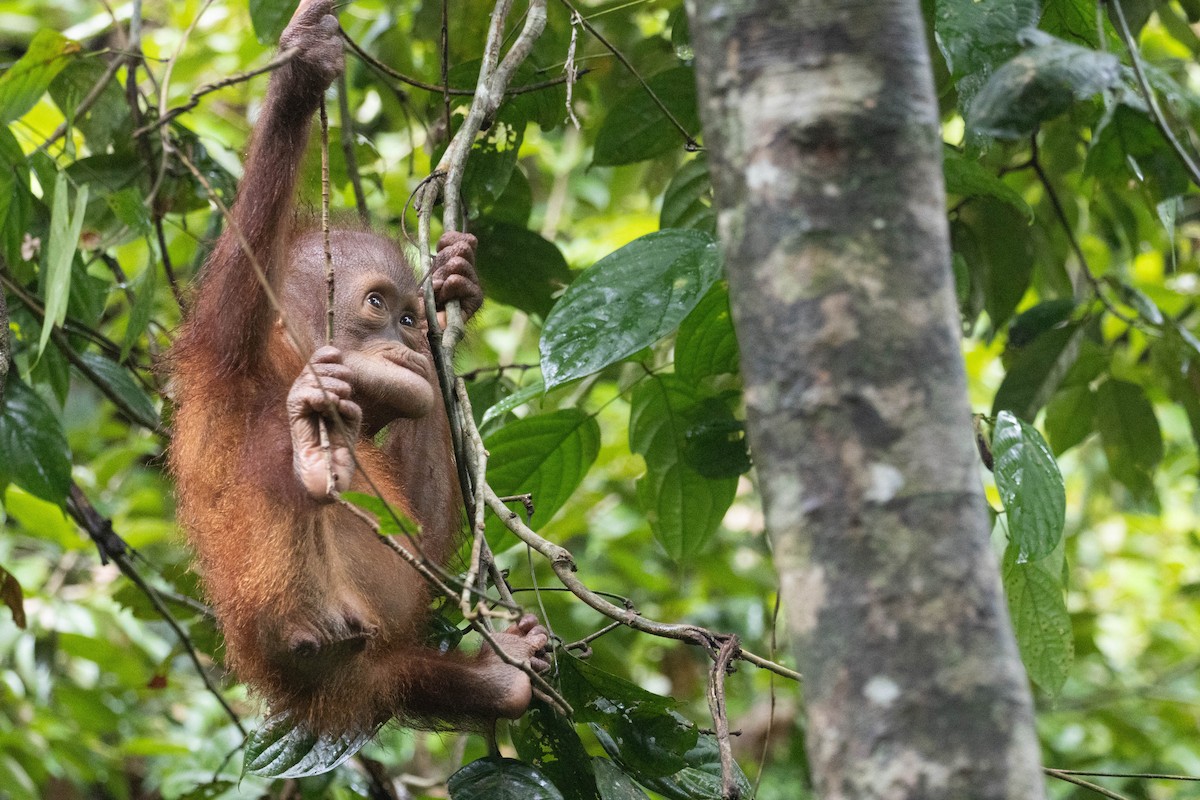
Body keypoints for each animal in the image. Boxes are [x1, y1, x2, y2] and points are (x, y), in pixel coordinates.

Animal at [167, 0, 549, 735]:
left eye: (409, 318)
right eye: (376, 305)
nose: (409, 343)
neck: (279, 370)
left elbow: (423, 543)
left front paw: (457, 285)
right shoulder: (226, 358)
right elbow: (238, 283)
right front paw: (299, 74)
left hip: (373, 668)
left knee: (400, 670)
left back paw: (502, 680)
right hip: (273, 608)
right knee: (273, 455)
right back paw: (312, 458)